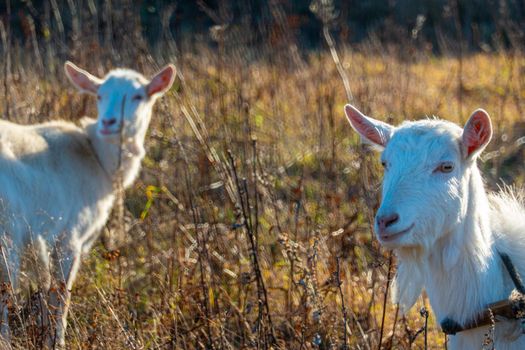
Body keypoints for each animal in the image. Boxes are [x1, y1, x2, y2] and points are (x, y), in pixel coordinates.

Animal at [0, 61, 176, 346]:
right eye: (100, 95)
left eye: (138, 96)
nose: (108, 123)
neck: (96, 157)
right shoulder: (69, 237)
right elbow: (61, 294)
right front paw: (57, 342)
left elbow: (47, 289)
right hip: (7, 232)